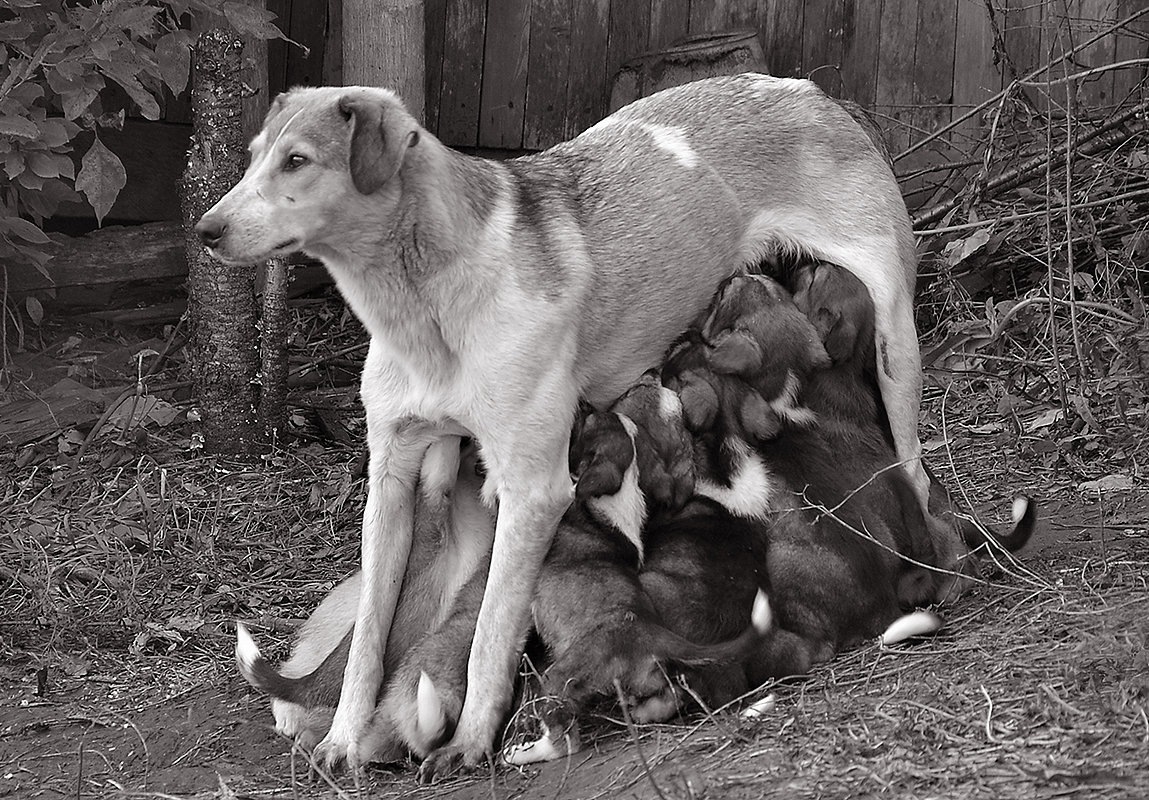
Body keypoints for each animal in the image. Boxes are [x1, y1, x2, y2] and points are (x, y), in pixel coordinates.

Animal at [195, 73, 923, 777]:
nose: (204, 230)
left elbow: (490, 633)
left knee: (910, 459)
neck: (423, 308)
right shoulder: (391, 485)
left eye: (297, 161)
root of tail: (808, 90)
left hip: (896, 342)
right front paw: (343, 741)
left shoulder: (532, 492)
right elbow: (367, 644)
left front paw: (470, 742)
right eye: (253, 156)